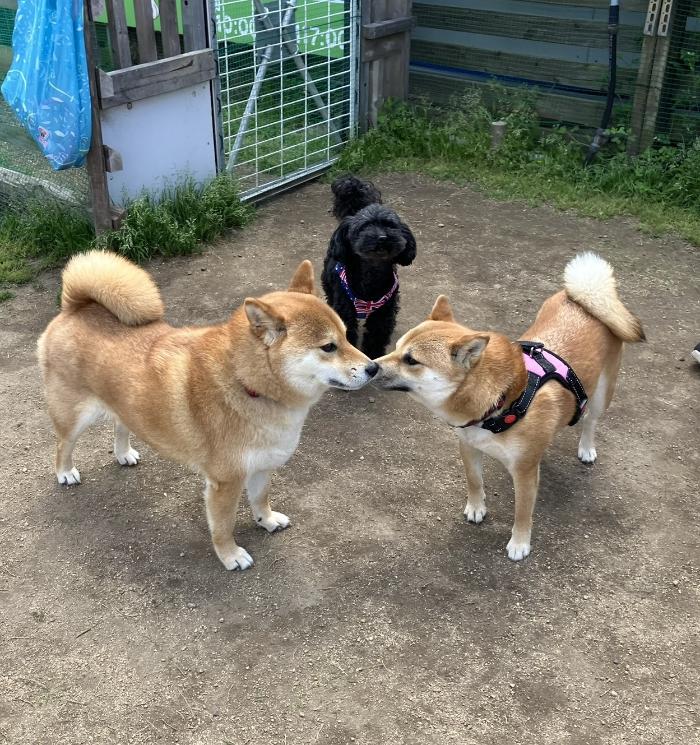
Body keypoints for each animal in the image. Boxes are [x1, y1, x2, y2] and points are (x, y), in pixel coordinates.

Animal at [37, 251, 378, 571]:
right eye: (328, 347)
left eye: (347, 336)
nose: (374, 368)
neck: (246, 384)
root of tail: (75, 306)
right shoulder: (225, 483)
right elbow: (224, 526)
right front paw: (231, 556)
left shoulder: (261, 466)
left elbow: (261, 499)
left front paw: (266, 521)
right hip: (74, 416)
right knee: (62, 445)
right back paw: (65, 472)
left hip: (123, 404)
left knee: (121, 424)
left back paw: (123, 454)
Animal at [321, 175, 416, 359]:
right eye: (364, 227)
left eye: (390, 225)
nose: (382, 237)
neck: (372, 271)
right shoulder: (345, 310)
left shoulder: (383, 313)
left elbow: (376, 337)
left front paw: (373, 356)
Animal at [375, 253, 644, 561]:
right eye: (396, 347)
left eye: (411, 360)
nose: (371, 366)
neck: (501, 403)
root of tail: (586, 297)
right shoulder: (468, 445)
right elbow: (474, 481)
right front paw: (477, 507)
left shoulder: (525, 473)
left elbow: (522, 512)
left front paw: (520, 542)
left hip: (601, 394)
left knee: (590, 420)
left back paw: (586, 448)